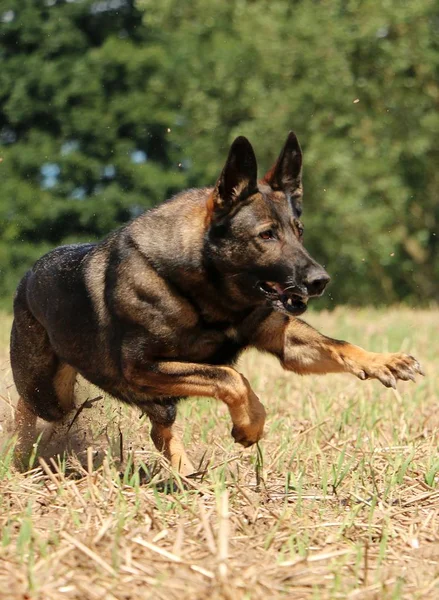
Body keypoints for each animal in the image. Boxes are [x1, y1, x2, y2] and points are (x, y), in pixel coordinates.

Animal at [9, 134, 422, 476]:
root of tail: (28, 275)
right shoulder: (142, 367)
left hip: (143, 399)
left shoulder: (282, 339)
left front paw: (384, 361)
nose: (320, 280)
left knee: (160, 429)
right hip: (51, 393)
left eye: (298, 231)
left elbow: (339, 346)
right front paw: (250, 423)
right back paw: (21, 455)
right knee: (28, 407)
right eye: (266, 235)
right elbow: (232, 378)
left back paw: (188, 477)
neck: (207, 290)